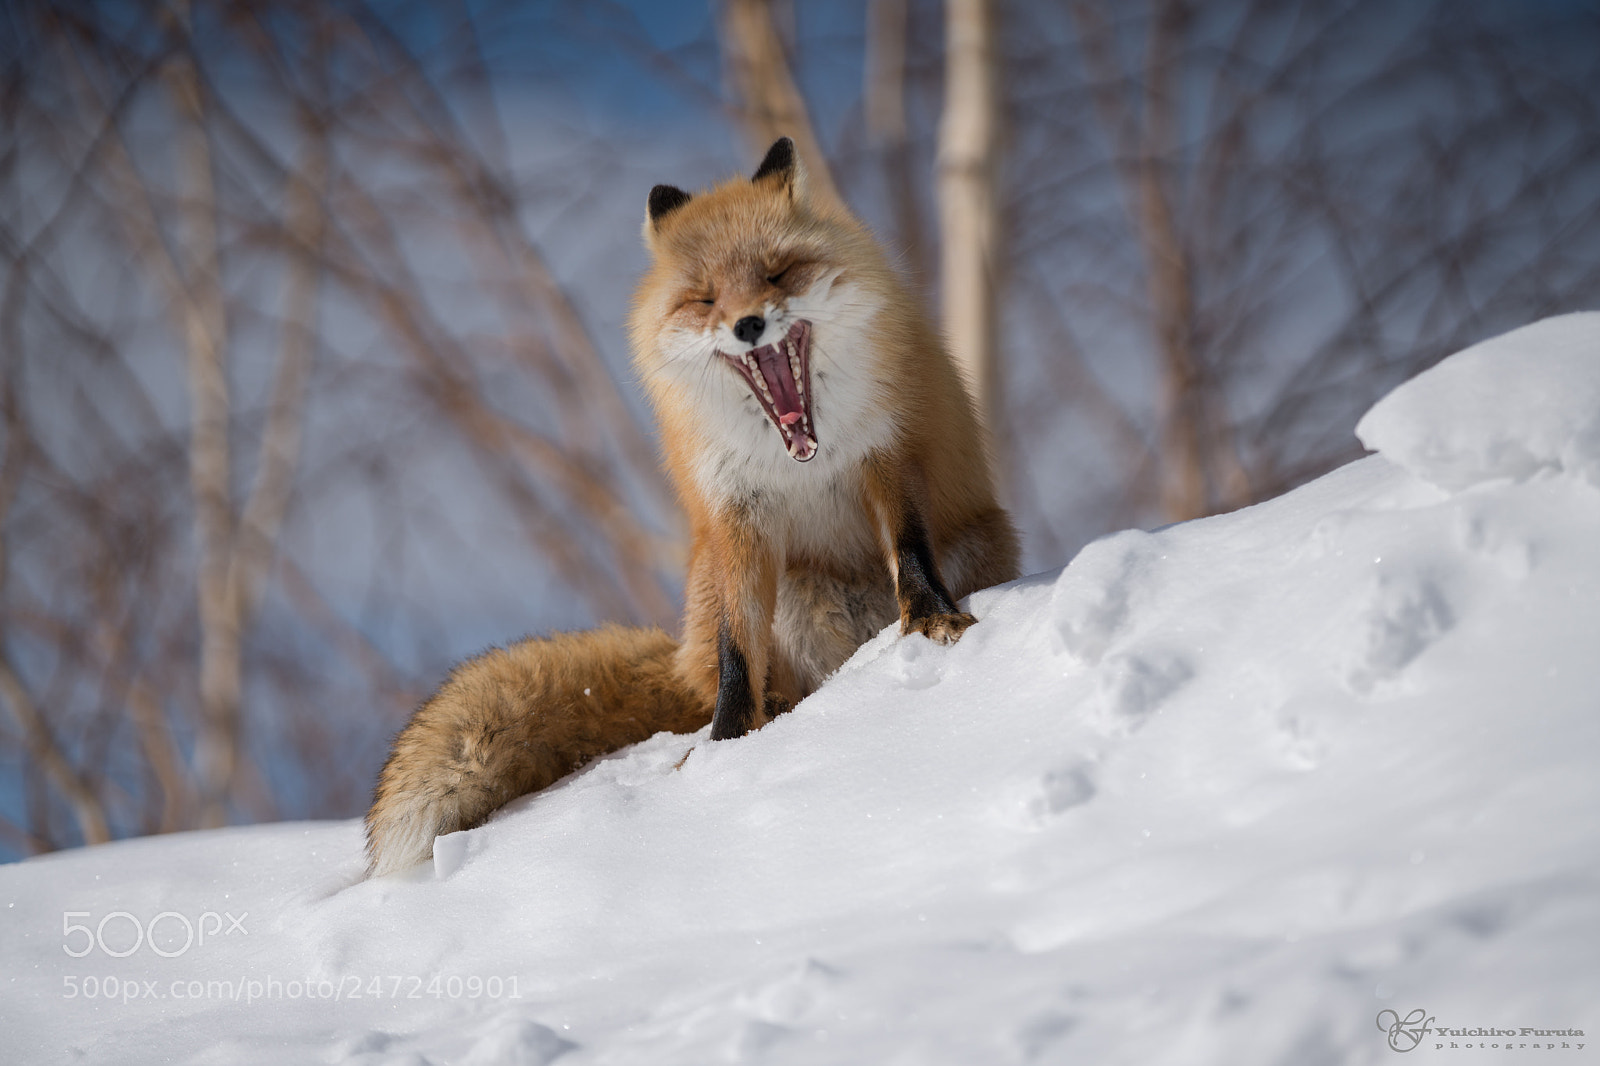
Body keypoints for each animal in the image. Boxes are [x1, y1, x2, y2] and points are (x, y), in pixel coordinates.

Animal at [363, 138, 1019, 878]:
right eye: (705, 299)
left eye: (777, 273)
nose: (748, 324)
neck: (801, 457)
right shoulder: (735, 512)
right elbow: (737, 653)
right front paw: (729, 745)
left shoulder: (891, 452)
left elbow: (909, 548)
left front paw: (934, 622)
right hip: (774, 595)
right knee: (736, 670)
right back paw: (778, 706)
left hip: (969, 547)